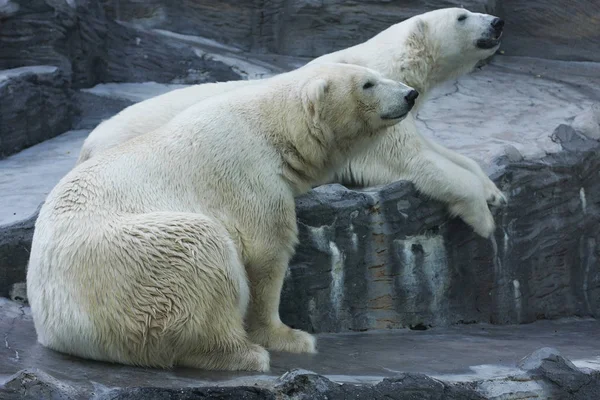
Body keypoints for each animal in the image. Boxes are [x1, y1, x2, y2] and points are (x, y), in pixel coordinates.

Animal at [27, 63, 418, 372]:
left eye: (378, 75)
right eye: (367, 83)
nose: (410, 94)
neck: (274, 129)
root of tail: (52, 322)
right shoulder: (247, 175)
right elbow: (266, 254)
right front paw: (290, 336)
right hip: (130, 262)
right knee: (202, 252)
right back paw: (244, 354)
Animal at [75, 7, 506, 238]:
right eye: (463, 16)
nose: (498, 21)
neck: (383, 66)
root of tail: (88, 144)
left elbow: (442, 152)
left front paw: (495, 191)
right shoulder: (365, 118)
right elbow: (415, 162)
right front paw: (485, 219)